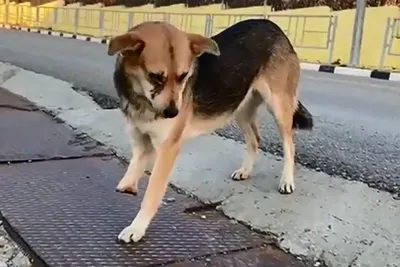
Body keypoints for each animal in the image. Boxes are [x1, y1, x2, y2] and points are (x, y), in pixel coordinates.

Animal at [108, 18, 314, 245]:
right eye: (155, 77)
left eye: (184, 76)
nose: (173, 113)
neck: (141, 99)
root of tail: (273, 25)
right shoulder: (141, 140)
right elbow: (136, 166)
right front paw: (128, 186)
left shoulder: (168, 148)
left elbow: (152, 194)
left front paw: (136, 227)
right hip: (238, 106)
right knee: (254, 139)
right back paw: (245, 170)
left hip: (278, 106)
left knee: (289, 144)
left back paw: (287, 180)